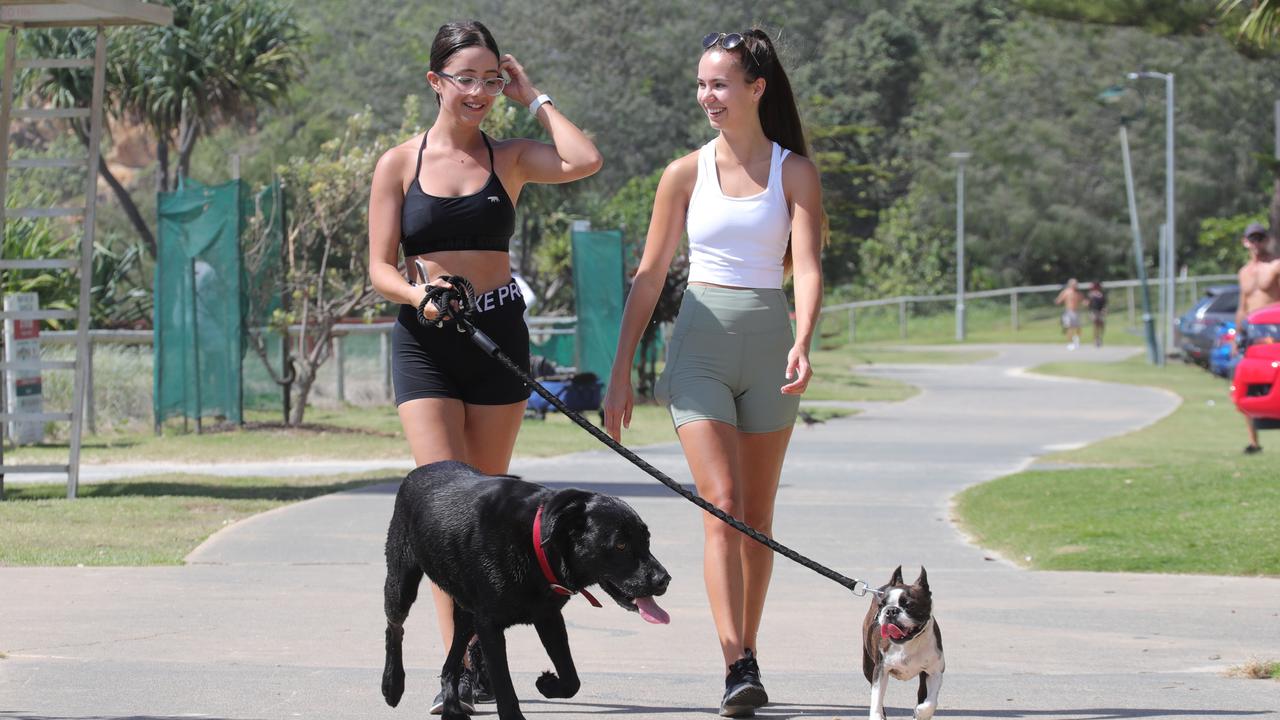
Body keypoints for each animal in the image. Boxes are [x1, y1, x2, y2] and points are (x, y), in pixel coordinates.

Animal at [378, 458, 670, 717]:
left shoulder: (548, 616)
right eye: (620, 545)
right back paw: (392, 685)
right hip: (401, 583)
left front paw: (548, 684)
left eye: (646, 540)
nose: (664, 580)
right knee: (394, 628)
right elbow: (505, 689)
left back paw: (452, 708)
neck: (535, 540)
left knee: (452, 658)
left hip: (466, 613)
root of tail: (419, 471)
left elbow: (571, 680)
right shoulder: (490, 626)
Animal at [860, 566, 942, 717]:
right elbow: (876, 697)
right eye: (881, 605)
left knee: (922, 693)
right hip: (867, 667)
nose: (891, 610)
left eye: (909, 605)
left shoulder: (934, 671)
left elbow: (931, 702)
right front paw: (877, 715)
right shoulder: (880, 670)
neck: (907, 643)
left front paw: (921, 712)